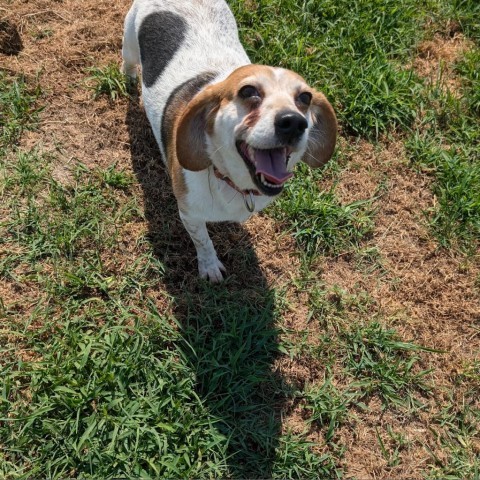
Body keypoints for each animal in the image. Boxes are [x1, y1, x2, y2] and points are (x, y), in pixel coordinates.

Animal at [122, 0, 336, 282]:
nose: (293, 122)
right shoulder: (189, 214)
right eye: (248, 91)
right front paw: (210, 267)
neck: (232, 180)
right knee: (127, 61)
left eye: (305, 98)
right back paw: (129, 79)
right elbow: (203, 241)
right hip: (129, 41)